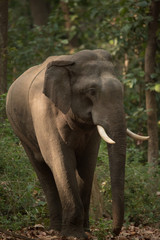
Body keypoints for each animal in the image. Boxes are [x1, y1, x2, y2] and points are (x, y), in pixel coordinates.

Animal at [6, 48, 149, 238]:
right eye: (92, 91)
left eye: (122, 90)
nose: (114, 232)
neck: (70, 61)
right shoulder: (44, 112)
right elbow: (60, 159)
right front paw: (74, 235)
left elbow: (87, 163)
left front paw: (85, 230)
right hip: (19, 130)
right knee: (42, 169)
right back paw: (55, 229)